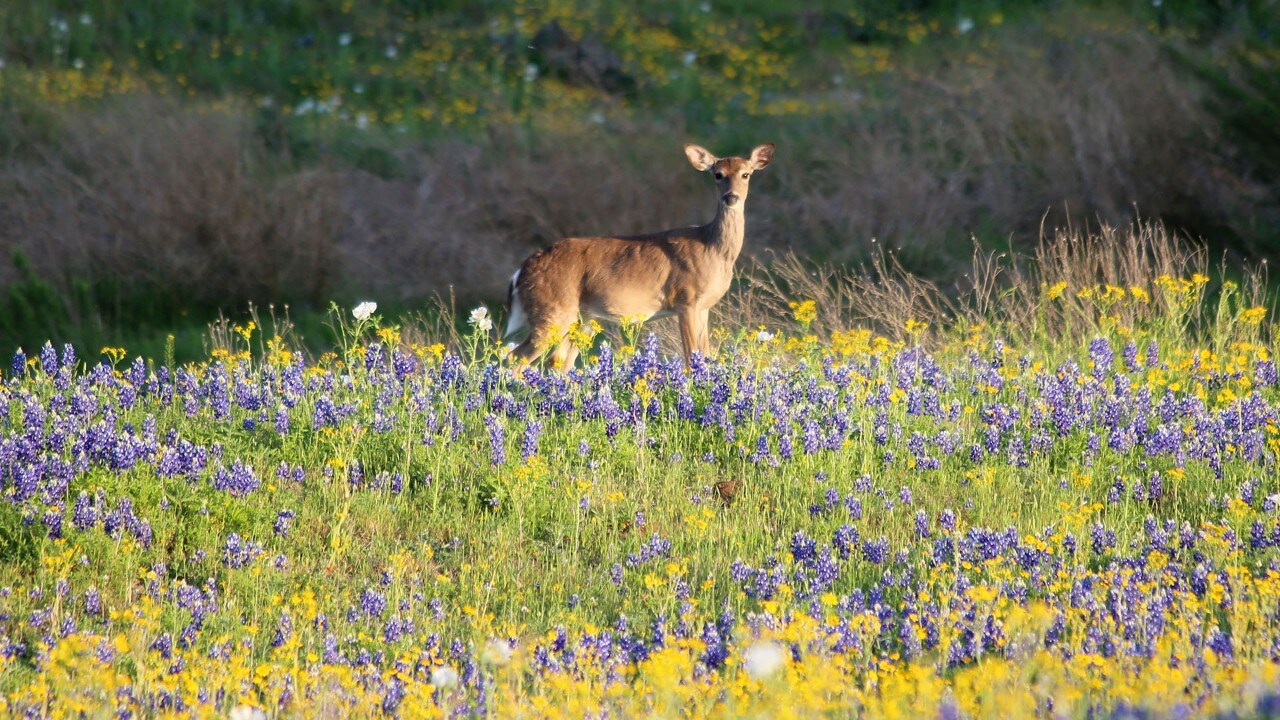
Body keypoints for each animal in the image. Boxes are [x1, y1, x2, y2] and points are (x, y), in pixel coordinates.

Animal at [504, 139, 773, 366]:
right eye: (718, 174)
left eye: (746, 174)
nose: (731, 197)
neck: (713, 249)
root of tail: (520, 272)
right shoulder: (686, 299)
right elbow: (690, 360)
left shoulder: (704, 306)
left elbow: (704, 355)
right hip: (552, 310)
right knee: (515, 357)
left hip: (581, 317)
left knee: (558, 362)